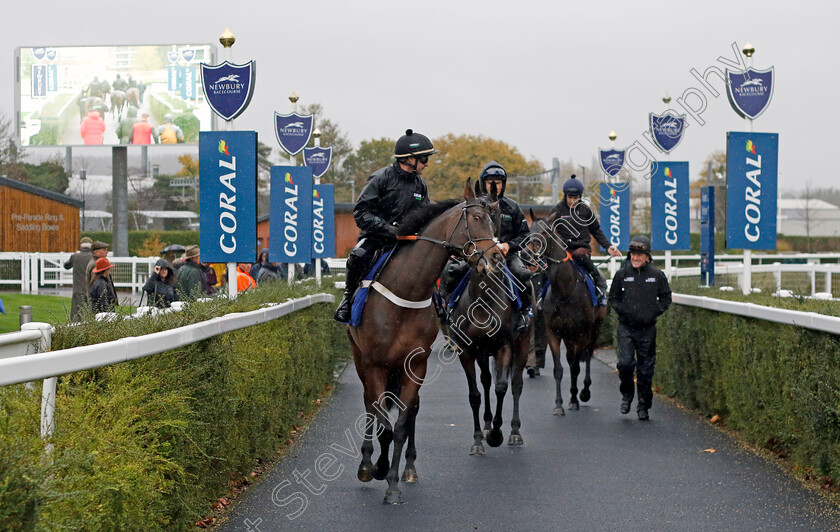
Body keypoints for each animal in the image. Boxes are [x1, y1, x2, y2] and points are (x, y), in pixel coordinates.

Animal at [346, 179, 502, 502]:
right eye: (477, 218)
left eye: (495, 221)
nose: (497, 258)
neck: (406, 291)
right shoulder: (374, 363)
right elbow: (383, 423)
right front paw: (377, 467)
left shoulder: (417, 364)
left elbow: (401, 424)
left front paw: (393, 481)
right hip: (358, 357)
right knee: (369, 404)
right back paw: (366, 465)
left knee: (411, 410)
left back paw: (408, 468)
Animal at [446, 185, 532, 456]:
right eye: (475, 217)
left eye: (494, 218)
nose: (495, 257)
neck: (483, 300)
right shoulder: (467, 350)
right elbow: (475, 393)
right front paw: (478, 439)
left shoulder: (504, 346)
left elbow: (502, 387)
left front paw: (497, 433)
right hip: (482, 352)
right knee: (485, 381)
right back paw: (485, 425)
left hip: (522, 343)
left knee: (516, 384)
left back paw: (514, 431)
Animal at [528, 211, 608, 416]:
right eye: (529, 230)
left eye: (545, 232)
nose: (527, 254)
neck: (564, 291)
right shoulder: (553, 333)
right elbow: (559, 369)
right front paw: (559, 405)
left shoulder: (580, 332)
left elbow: (575, 368)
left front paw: (574, 400)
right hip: (569, 336)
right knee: (572, 357)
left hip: (595, 328)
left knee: (587, 355)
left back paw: (585, 391)